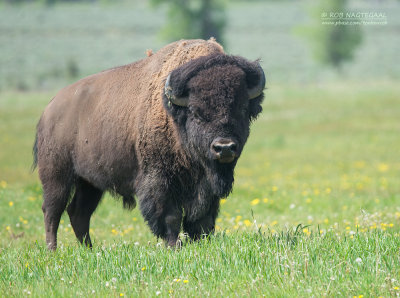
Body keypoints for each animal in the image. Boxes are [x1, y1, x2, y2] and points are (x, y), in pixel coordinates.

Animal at [32, 39, 266, 249]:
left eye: (242, 108)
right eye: (195, 112)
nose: (224, 147)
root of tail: (48, 110)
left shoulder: (206, 187)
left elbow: (202, 218)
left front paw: (200, 242)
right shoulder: (159, 181)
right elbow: (171, 216)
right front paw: (173, 246)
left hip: (89, 182)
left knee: (79, 212)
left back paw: (89, 249)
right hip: (57, 176)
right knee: (52, 211)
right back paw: (53, 250)